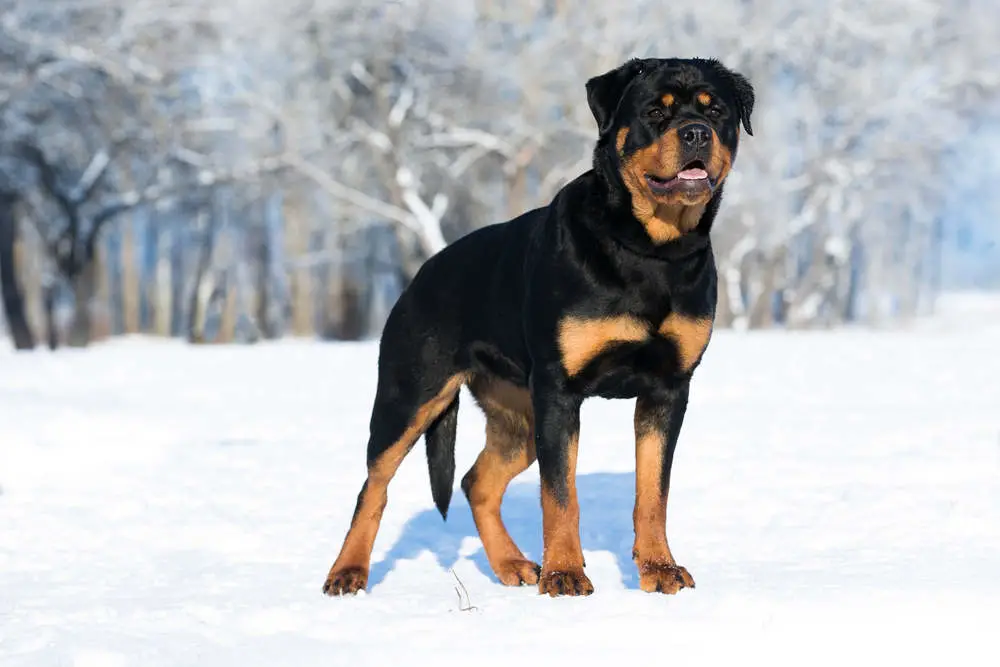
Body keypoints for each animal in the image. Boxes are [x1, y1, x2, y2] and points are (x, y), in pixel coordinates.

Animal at [320, 57, 752, 600]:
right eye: (656, 111)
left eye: (717, 112)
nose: (696, 133)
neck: (651, 249)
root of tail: (420, 273)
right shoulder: (559, 390)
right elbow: (560, 493)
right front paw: (565, 573)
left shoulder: (668, 389)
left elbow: (653, 491)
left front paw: (659, 569)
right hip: (412, 395)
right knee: (374, 486)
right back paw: (347, 572)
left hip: (518, 416)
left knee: (476, 483)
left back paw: (513, 565)